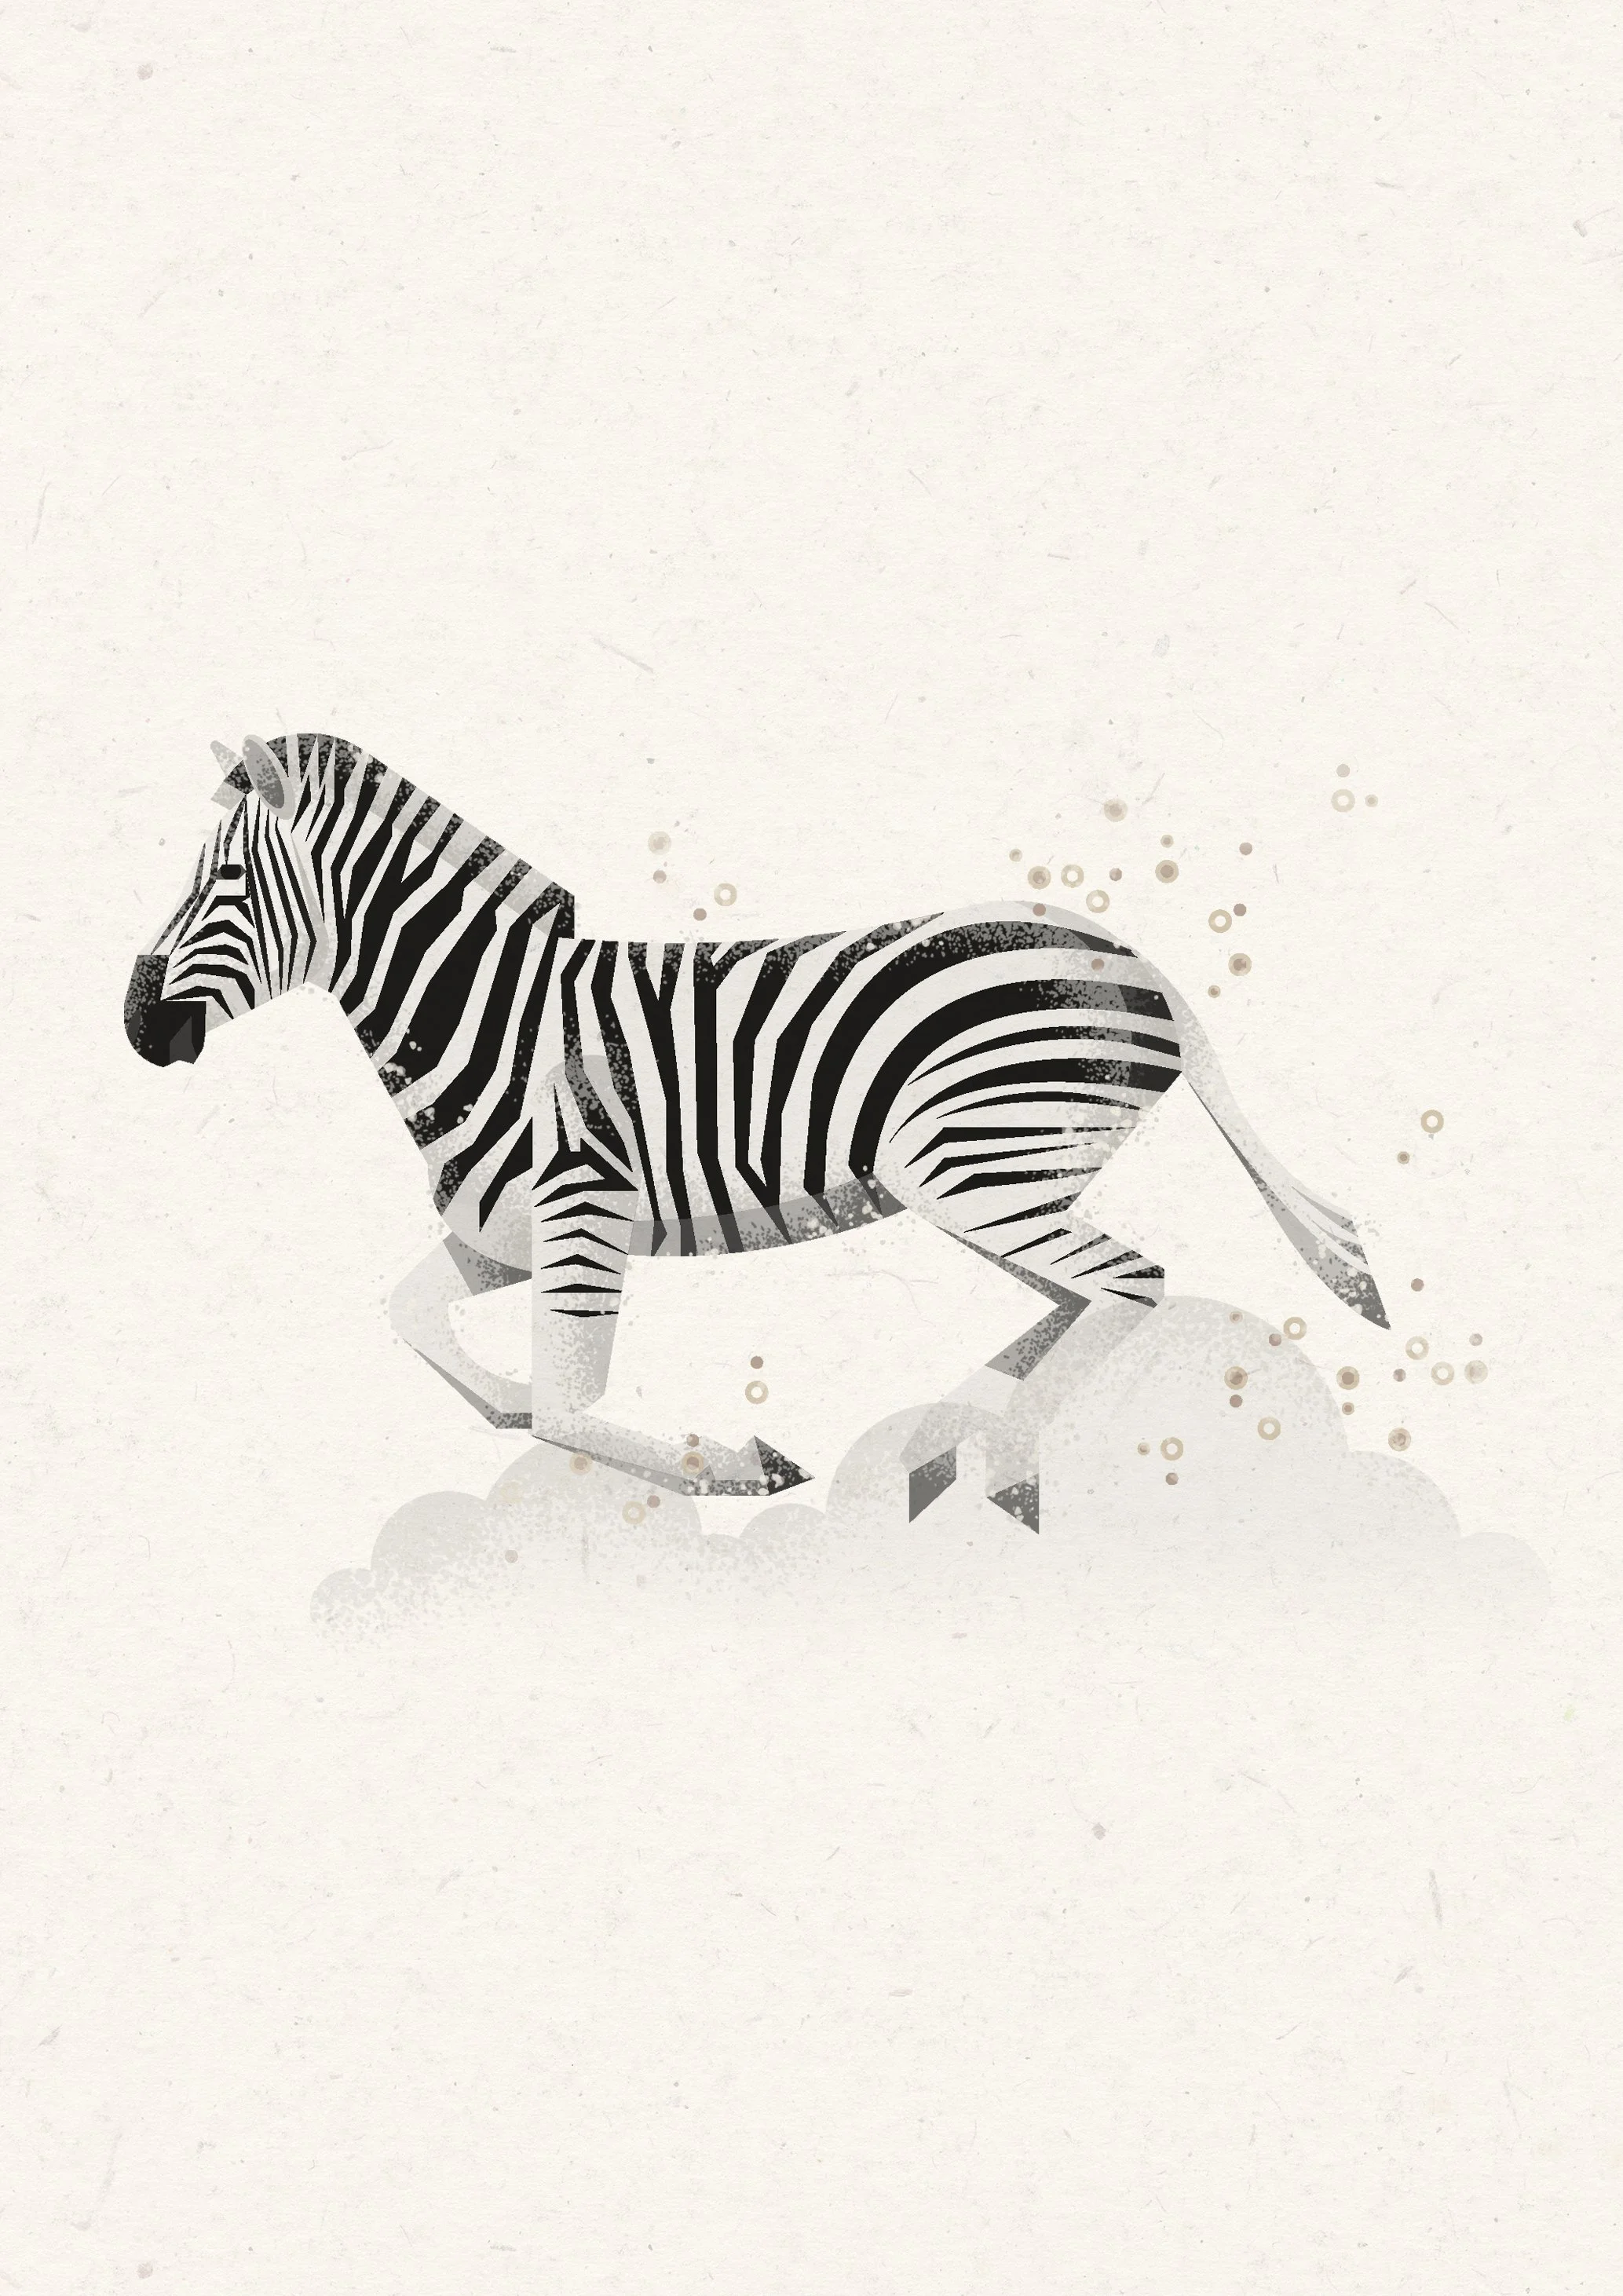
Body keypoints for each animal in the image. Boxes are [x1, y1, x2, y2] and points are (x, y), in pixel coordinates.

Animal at [125, 733, 1388, 1529]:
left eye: (223, 882)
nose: (137, 1028)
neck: (495, 1014)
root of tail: (1133, 960)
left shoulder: (581, 1219)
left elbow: (562, 1410)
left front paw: (736, 1466)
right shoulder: (503, 1234)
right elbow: (435, 1341)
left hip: (971, 1169)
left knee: (1128, 1281)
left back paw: (998, 1466)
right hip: (988, 1178)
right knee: (1078, 1294)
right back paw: (943, 1441)